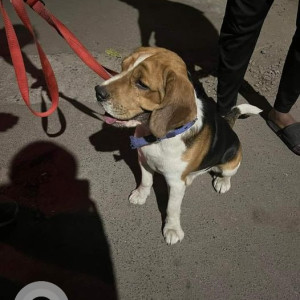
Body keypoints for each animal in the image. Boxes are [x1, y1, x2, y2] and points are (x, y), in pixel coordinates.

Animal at [95, 46, 260, 244]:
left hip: (231, 163)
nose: (98, 91)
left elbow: (172, 209)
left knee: (227, 175)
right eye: (122, 67)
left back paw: (222, 182)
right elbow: (146, 181)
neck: (157, 138)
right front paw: (141, 195)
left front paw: (172, 229)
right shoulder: (143, 160)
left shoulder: (174, 183)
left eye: (142, 84)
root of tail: (227, 123)